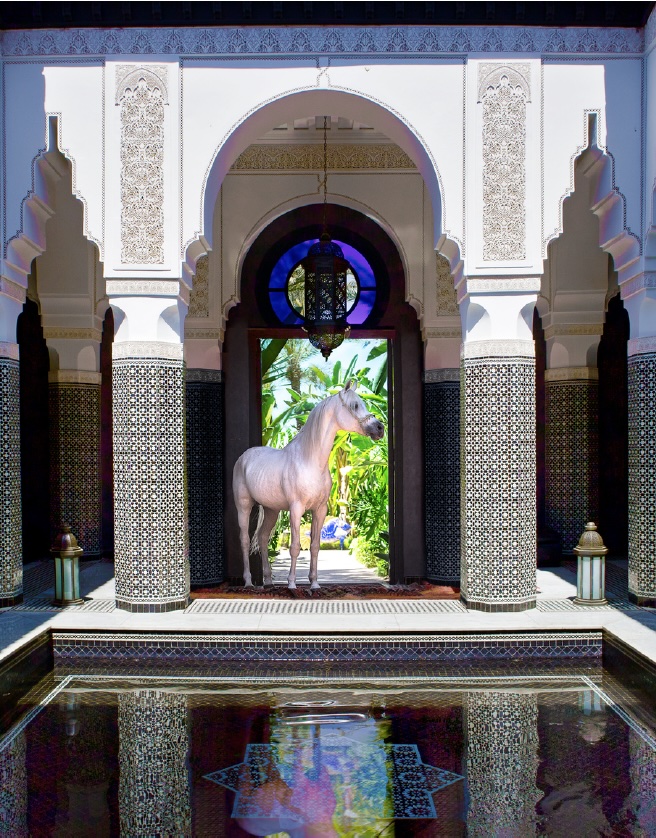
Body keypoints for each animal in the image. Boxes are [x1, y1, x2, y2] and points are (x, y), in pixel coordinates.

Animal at [233, 380, 384, 592]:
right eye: (355, 405)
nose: (380, 428)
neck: (309, 461)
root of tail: (244, 457)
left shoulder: (320, 509)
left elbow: (314, 546)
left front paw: (314, 584)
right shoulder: (296, 509)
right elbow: (295, 546)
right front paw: (292, 584)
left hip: (271, 510)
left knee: (262, 538)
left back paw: (269, 581)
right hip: (243, 506)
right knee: (245, 540)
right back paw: (248, 582)